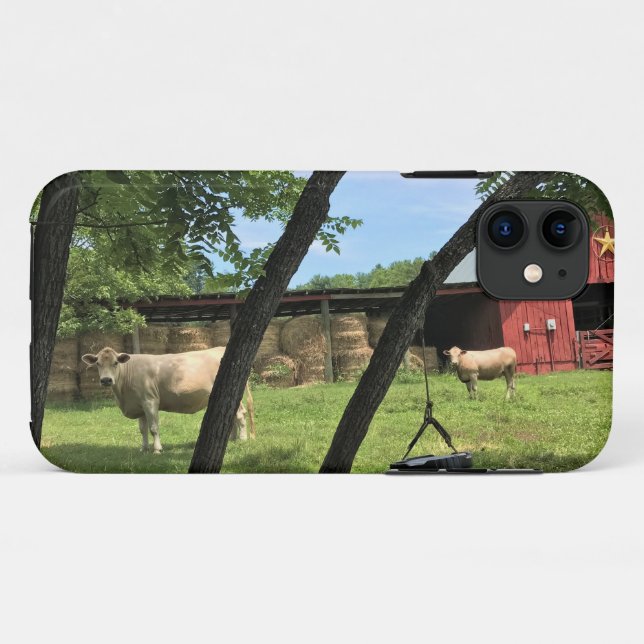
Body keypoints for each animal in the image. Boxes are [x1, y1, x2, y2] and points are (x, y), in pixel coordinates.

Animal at [81, 346, 255, 454]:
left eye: (115, 363)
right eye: (98, 363)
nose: (106, 380)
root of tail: (220, 348)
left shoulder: (150, 401)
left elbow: (153, 428)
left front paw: (157, 449)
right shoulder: (139, 405)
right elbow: (142, 429)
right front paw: (144, 448)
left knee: (240, 415)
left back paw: (242, 439)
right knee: (231, 415)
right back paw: (232, 439)